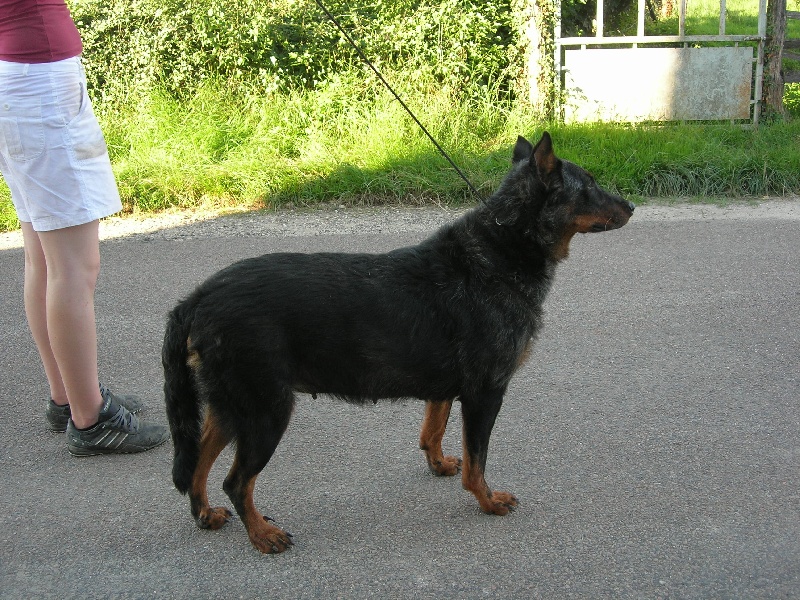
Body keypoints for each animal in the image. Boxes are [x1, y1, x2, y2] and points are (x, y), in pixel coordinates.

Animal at [164, 131, 636, 552]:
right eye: (589, 185)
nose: (632, 206)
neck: (503, 248)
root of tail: (198, 297)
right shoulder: (485, 393)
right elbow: (477, 464)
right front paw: (487, 502)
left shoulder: (447, 390)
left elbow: (434, 431)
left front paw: (439, 463)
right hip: (266, 413)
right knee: (236, 481)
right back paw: (262, 534)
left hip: (231, 408)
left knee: (198, 464)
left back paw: (206, 513)